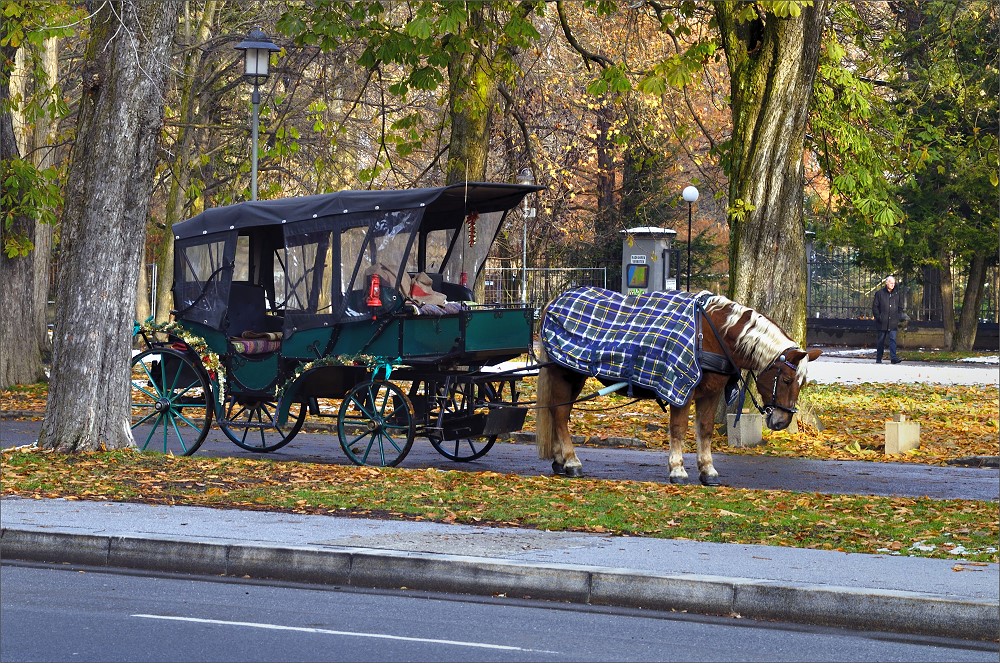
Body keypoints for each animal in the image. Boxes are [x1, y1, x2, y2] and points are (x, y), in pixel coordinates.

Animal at [532, 286, 820, 488]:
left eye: (802, 383)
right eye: (786, 380)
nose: (782, 421)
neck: (712, 334)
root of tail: (553, 303)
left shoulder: (711, 392)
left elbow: (705, 430)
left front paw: (707, 470)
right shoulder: (682, 387)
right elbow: (679, 429)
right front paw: (678, 469)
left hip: (573, 377)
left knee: (559, 413)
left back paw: (560, 460)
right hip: (564, 374)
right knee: (560, 415)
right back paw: (571, 462)